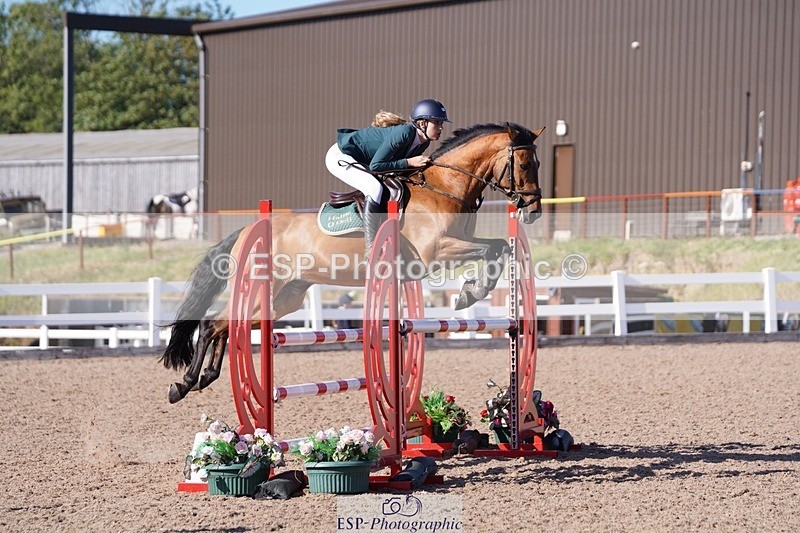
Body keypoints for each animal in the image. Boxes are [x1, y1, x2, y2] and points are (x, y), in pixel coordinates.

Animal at [161, 122, 543, 403]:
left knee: (226, 325)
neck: (444, 188)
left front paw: (472, 290)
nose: (534, 211)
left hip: (285, 299)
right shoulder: (437, 252)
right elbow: (493, 250)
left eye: (537, 164)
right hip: (268, 289)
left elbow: (499, 249)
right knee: (212, 324)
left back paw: (204, 378)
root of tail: (245, 231)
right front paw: (470, 292)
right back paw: (184, 384)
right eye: (524, 164)